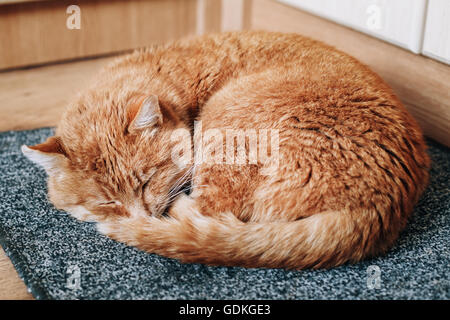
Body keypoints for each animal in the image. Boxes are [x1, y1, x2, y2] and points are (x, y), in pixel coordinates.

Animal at [22, 31, 430, 268]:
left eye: (147, 181)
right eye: (106, 200)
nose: (140, 214)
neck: (170, 73)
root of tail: (377, 207)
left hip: (226, 119)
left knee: (211, 211)